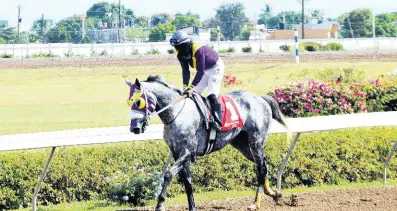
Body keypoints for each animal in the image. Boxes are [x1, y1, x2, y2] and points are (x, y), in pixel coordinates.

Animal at [125, 75, 290, 210]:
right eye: (129, 101)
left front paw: (160, 204)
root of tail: (260, 98)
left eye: (138, 101)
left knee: (260, 167)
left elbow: (168, 175)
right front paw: (192, 207)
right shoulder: (178, 154)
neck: (177, 113)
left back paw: (256, 202)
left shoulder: (187, 153)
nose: (135, 128)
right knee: (263, 163)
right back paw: (273, 193)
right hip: (242, 144)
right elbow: (188, 183)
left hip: (256, 140)